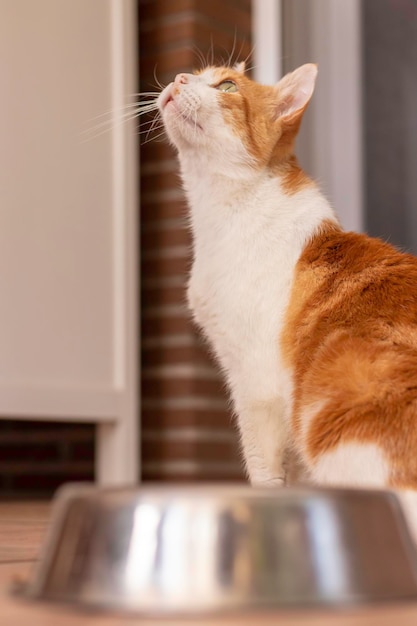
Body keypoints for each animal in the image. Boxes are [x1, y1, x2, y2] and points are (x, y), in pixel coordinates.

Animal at [156, 59, 416, 536]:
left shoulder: (257, 389)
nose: (179, 78)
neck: (224, 215)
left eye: (226, 86)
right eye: (197, 74)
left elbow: (265, 470)